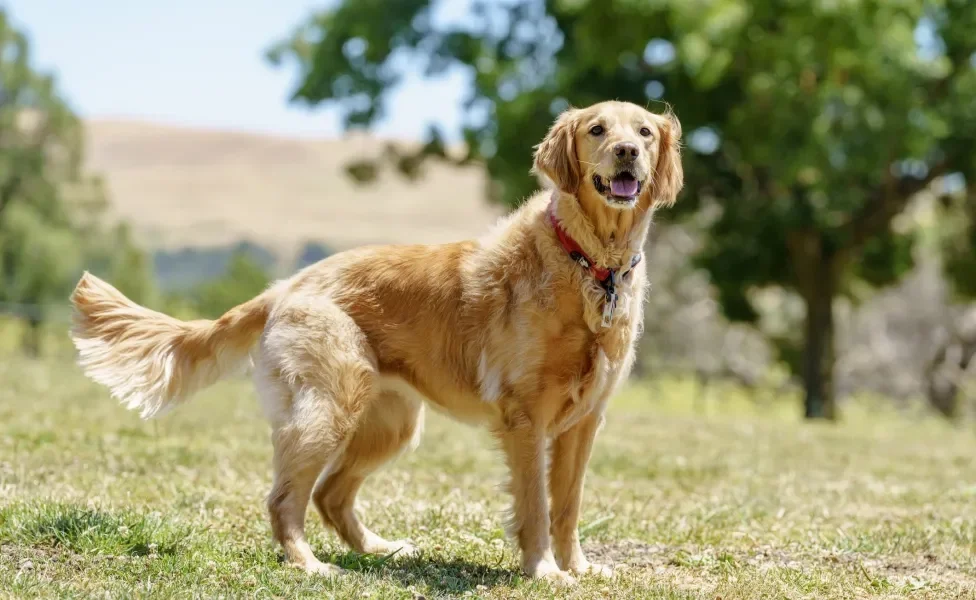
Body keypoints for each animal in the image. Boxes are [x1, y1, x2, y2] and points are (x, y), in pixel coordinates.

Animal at [68, 101, 684, 584]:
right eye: (597, 130)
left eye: (644, 132)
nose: (627, 152)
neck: (590, 264)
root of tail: (285, 286)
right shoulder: (525, 419)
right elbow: (534, 505)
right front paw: (543, 571)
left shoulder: (585, 421)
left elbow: (568, 506)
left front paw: (576, 566)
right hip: (330, 408)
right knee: (285, 499)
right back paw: (310, 565)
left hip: (390, 425)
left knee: (330, 495)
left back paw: (381, 550)